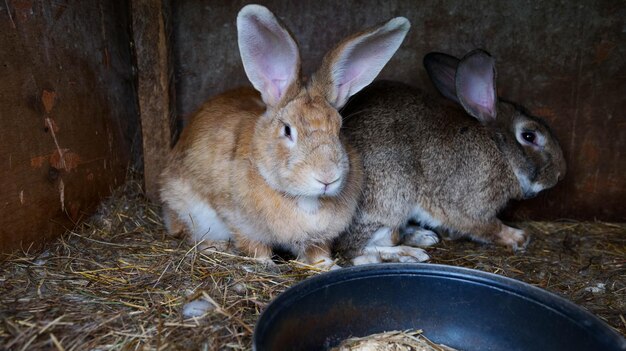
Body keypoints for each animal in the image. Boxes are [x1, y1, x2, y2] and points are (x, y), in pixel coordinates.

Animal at [158, 4, 408, 270]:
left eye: (339, 130)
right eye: (287, 130)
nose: (327, 177)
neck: (305, 200)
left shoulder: (318, 240)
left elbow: (318, 254)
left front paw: (330, 266)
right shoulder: (239, 221)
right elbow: (254, 247)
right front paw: (267, 265)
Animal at [336, 48, 564, 264]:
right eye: (529, 136)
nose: (560, 175)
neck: (501, 150)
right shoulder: (472, 207)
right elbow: (489, 227)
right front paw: (519, 237)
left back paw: (423, 236)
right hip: (391, 199)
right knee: (356, 251)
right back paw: (410, 254)